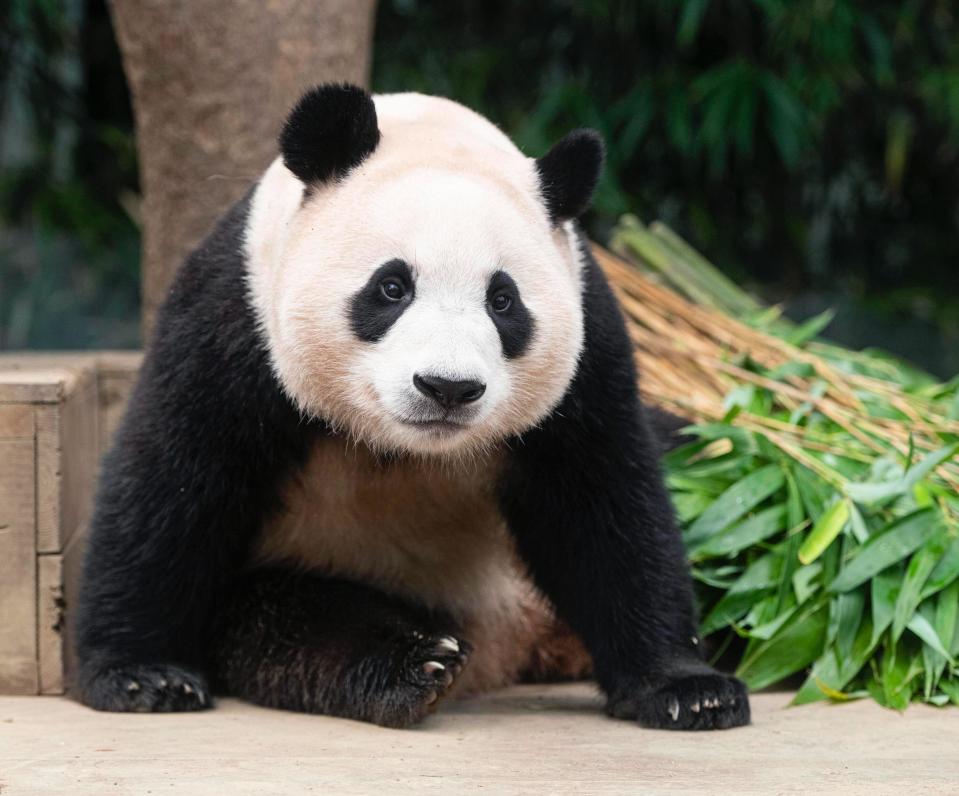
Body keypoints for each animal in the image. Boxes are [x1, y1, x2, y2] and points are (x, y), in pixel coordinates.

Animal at [73, 84, 752, 732]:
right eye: (392, 287)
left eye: (503, 301)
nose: (447, 387)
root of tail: (521, 646)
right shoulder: (235, 321)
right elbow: (175, 484)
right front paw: (140, 675)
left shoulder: (589, 350)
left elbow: (606, 507)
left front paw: (687, 689)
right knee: (299, 624)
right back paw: (416, 665)